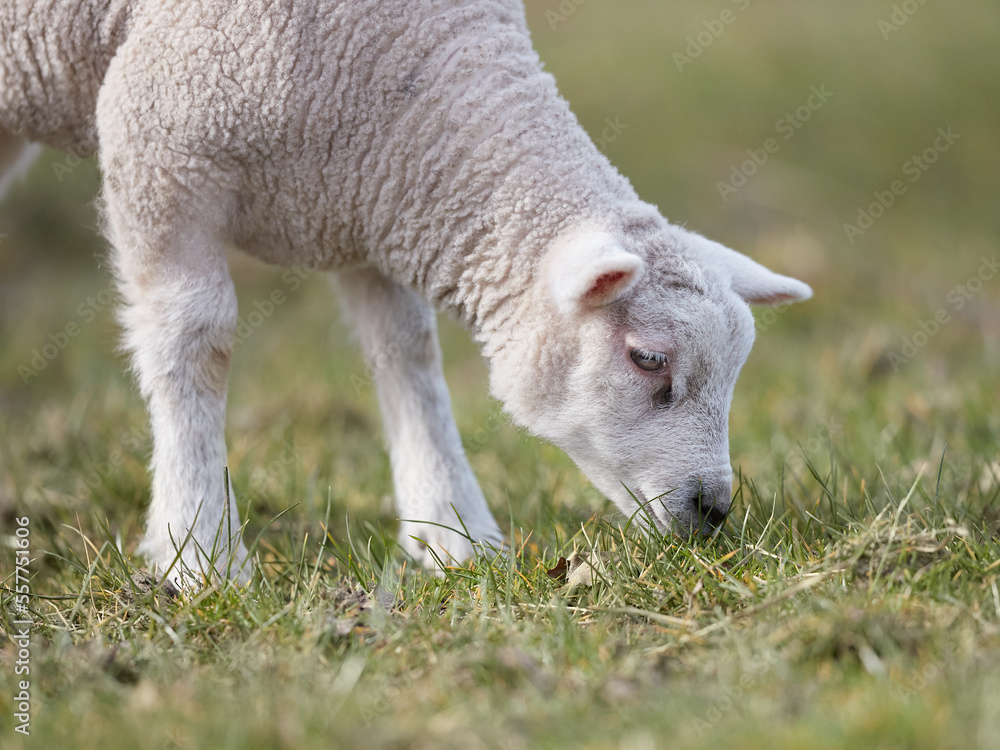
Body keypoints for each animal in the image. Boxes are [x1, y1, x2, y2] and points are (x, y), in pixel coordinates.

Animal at [0, 0, 812, 583]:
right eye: (647, 359)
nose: (713, 508)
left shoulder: (371, 199)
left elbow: (408, 352)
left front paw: (453, 532)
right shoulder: (161, 148)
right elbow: (197, 343)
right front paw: (198, 553)